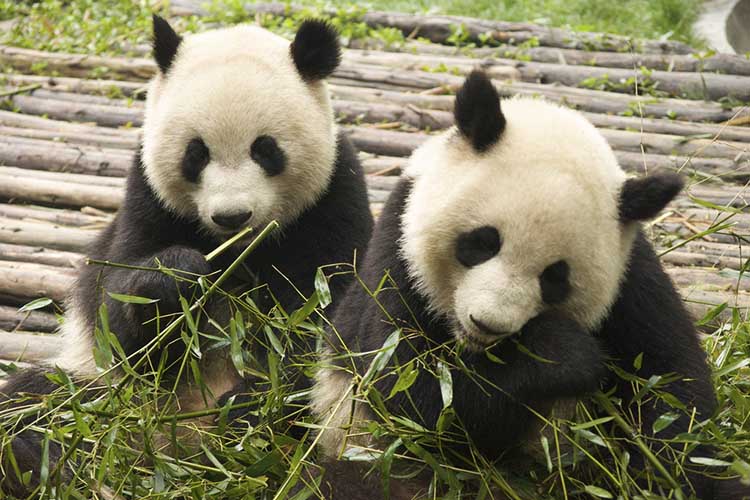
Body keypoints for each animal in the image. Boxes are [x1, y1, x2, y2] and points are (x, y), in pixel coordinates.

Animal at [0, 14, 374, 496]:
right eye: (196, 153)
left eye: (266, 149)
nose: (232, 216)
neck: (241, 251)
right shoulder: (146, 196)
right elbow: (119, 317)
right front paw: (178, 276)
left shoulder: (334, 198)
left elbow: (326, 327)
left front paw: (252, 406)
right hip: (104, 392)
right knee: (41, 402)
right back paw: (32, 458)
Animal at [306, 71, 750, 500]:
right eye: (483, 242)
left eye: (555, 278)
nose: (487, 324)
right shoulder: (398, 257)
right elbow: (412, 393)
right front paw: (563, 354)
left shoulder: (633, 276)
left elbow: (671, 387)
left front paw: (666, 476)